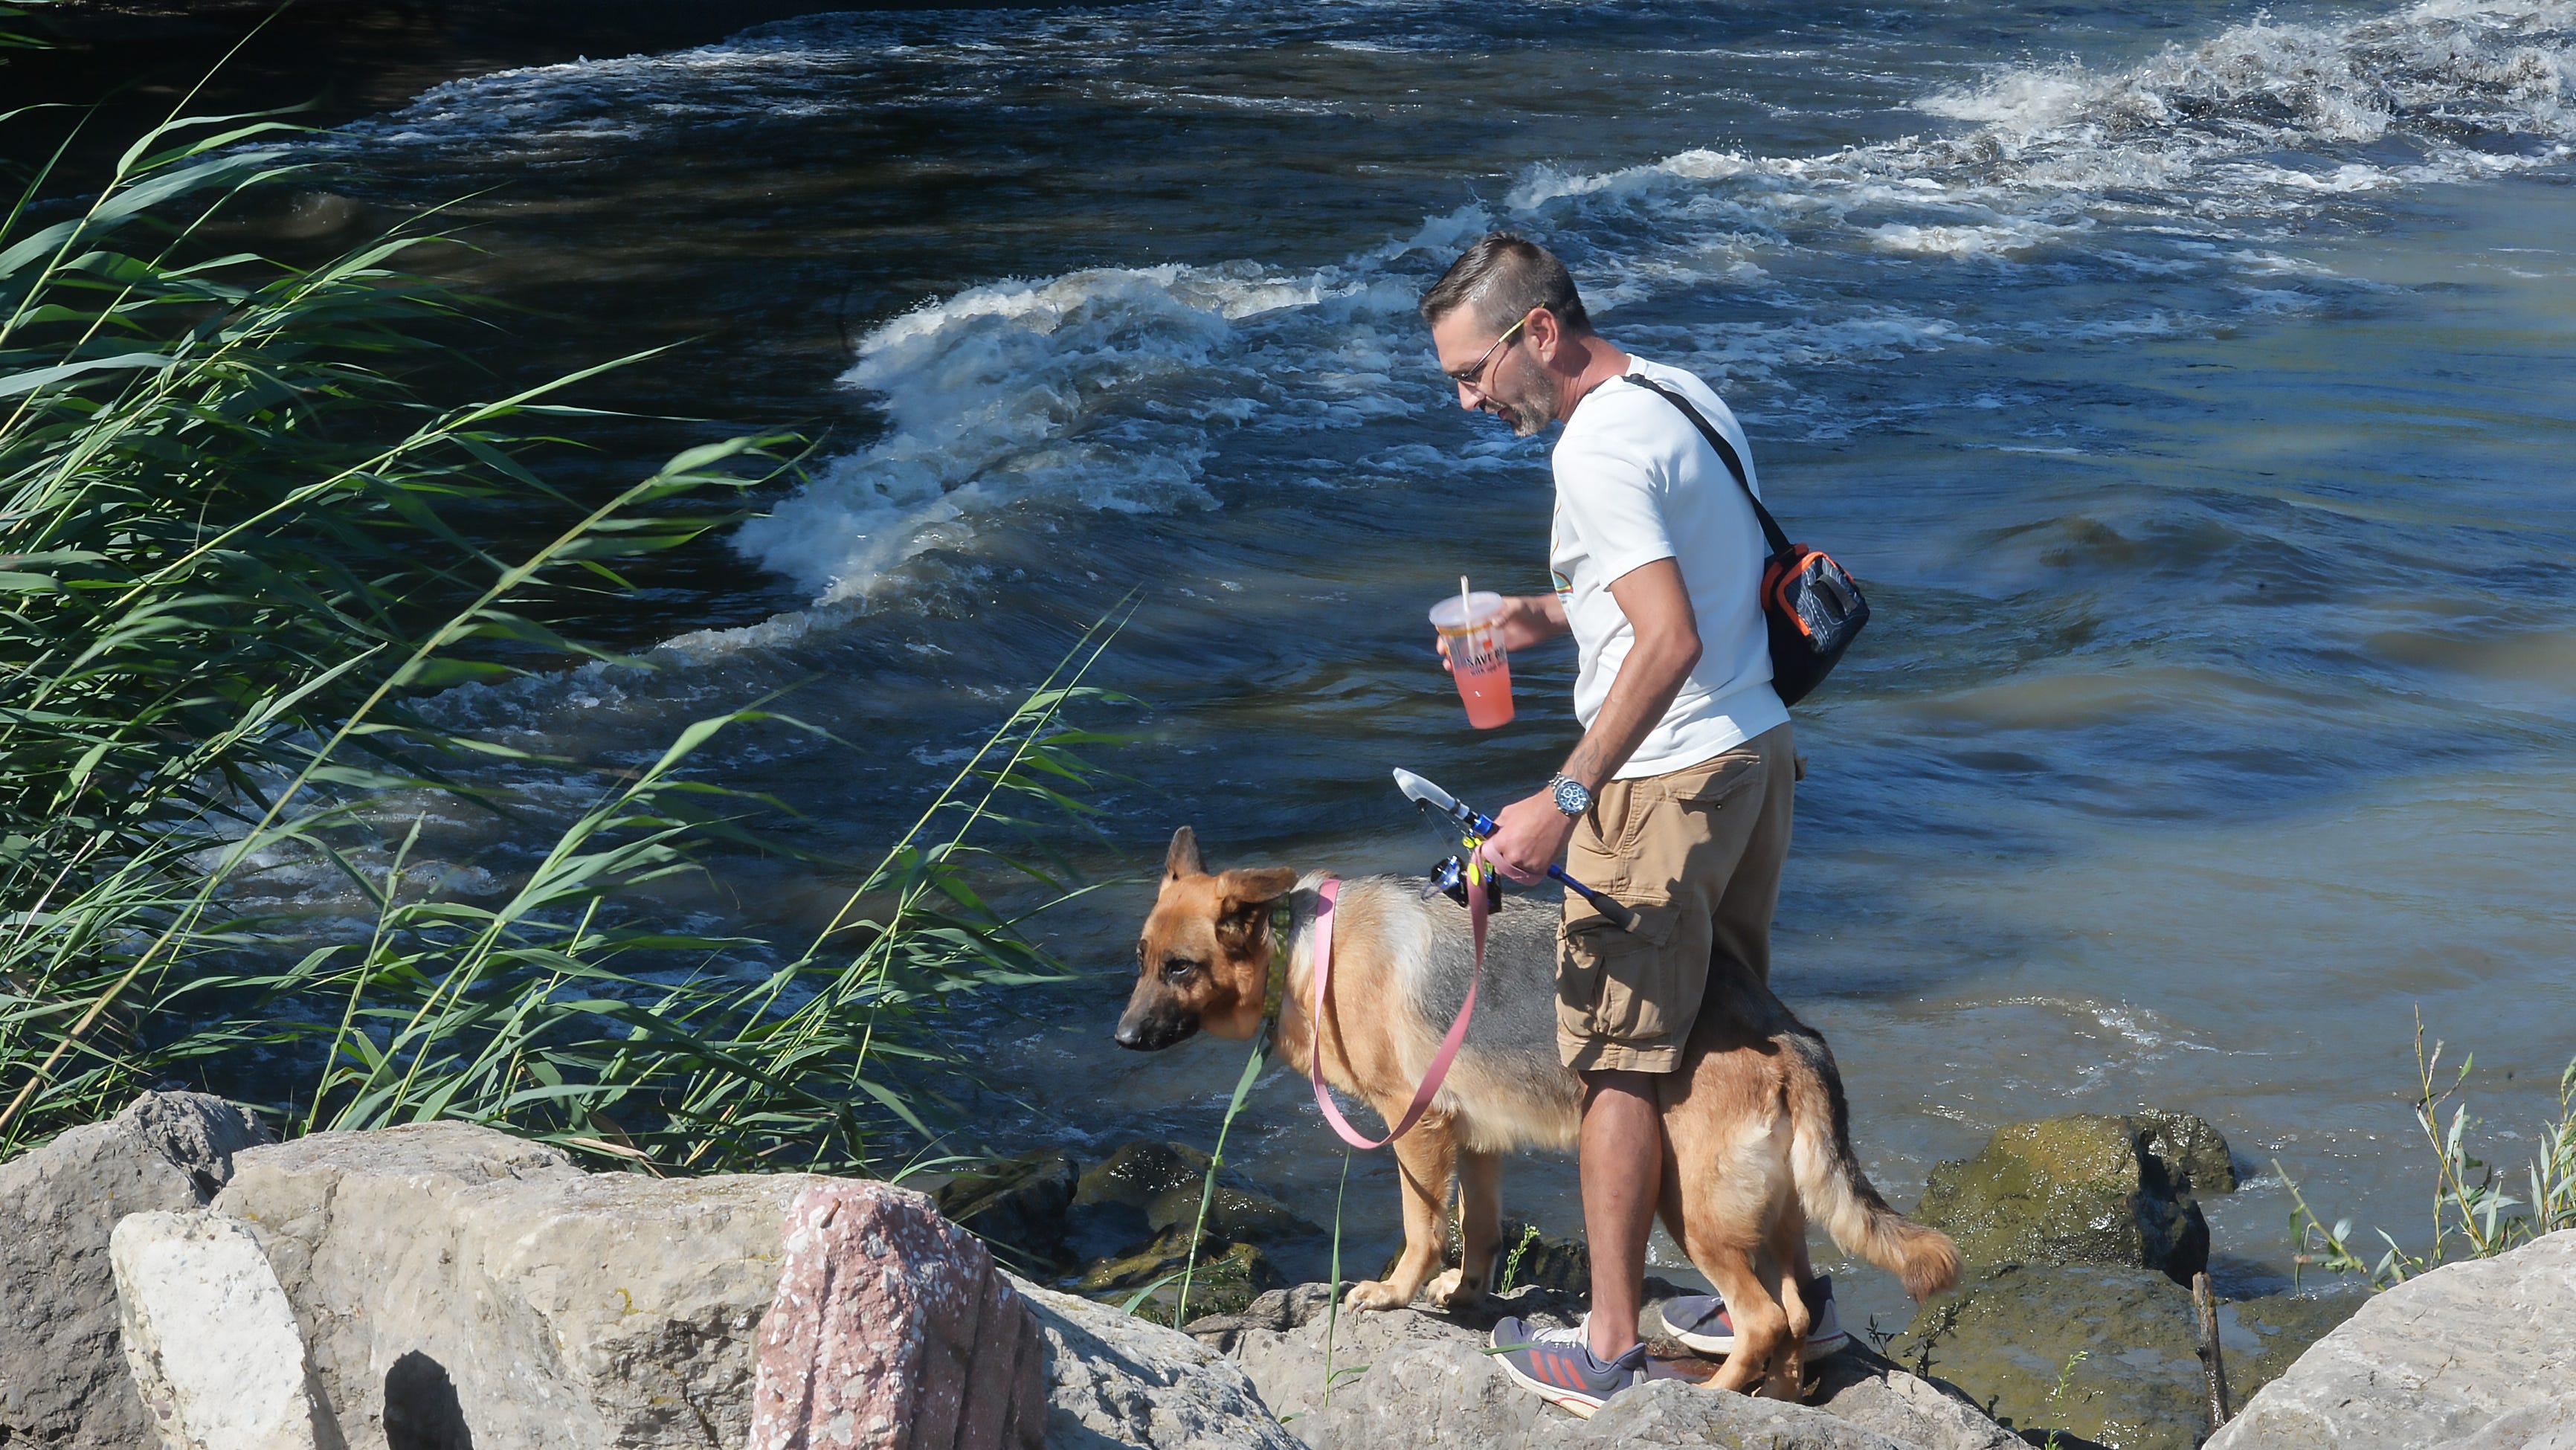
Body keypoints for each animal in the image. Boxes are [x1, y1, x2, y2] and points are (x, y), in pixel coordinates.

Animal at [1118, 829, 1957, 1391]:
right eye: (1141, 959)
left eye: (1181, 968)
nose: (1121, 1038)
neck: (1304, 950)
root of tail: (1790, 1034)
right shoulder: (1476, 1140)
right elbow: (1482, 1229)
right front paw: (1466, 1295)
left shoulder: (1417, 1129)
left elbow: (1422, 1229)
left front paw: (1393, 1293)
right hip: (1771, 1217)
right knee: (1797, 1315)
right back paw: (1771, 1397)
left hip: (1687, 1208)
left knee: (1765, 1320)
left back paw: (1712, 1395)